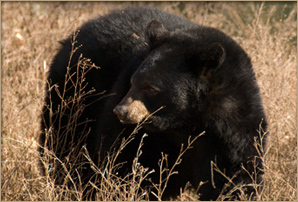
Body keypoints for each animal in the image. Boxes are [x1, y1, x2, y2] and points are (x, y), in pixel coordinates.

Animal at [40, 6, 268, 200]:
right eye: (133, 81)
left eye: (151, 88)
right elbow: (131, 162)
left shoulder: (232, 125)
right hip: (73, 94)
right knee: (66, 145)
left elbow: (233, 176)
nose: (121, 111)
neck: (185, 124)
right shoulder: (145, 134)